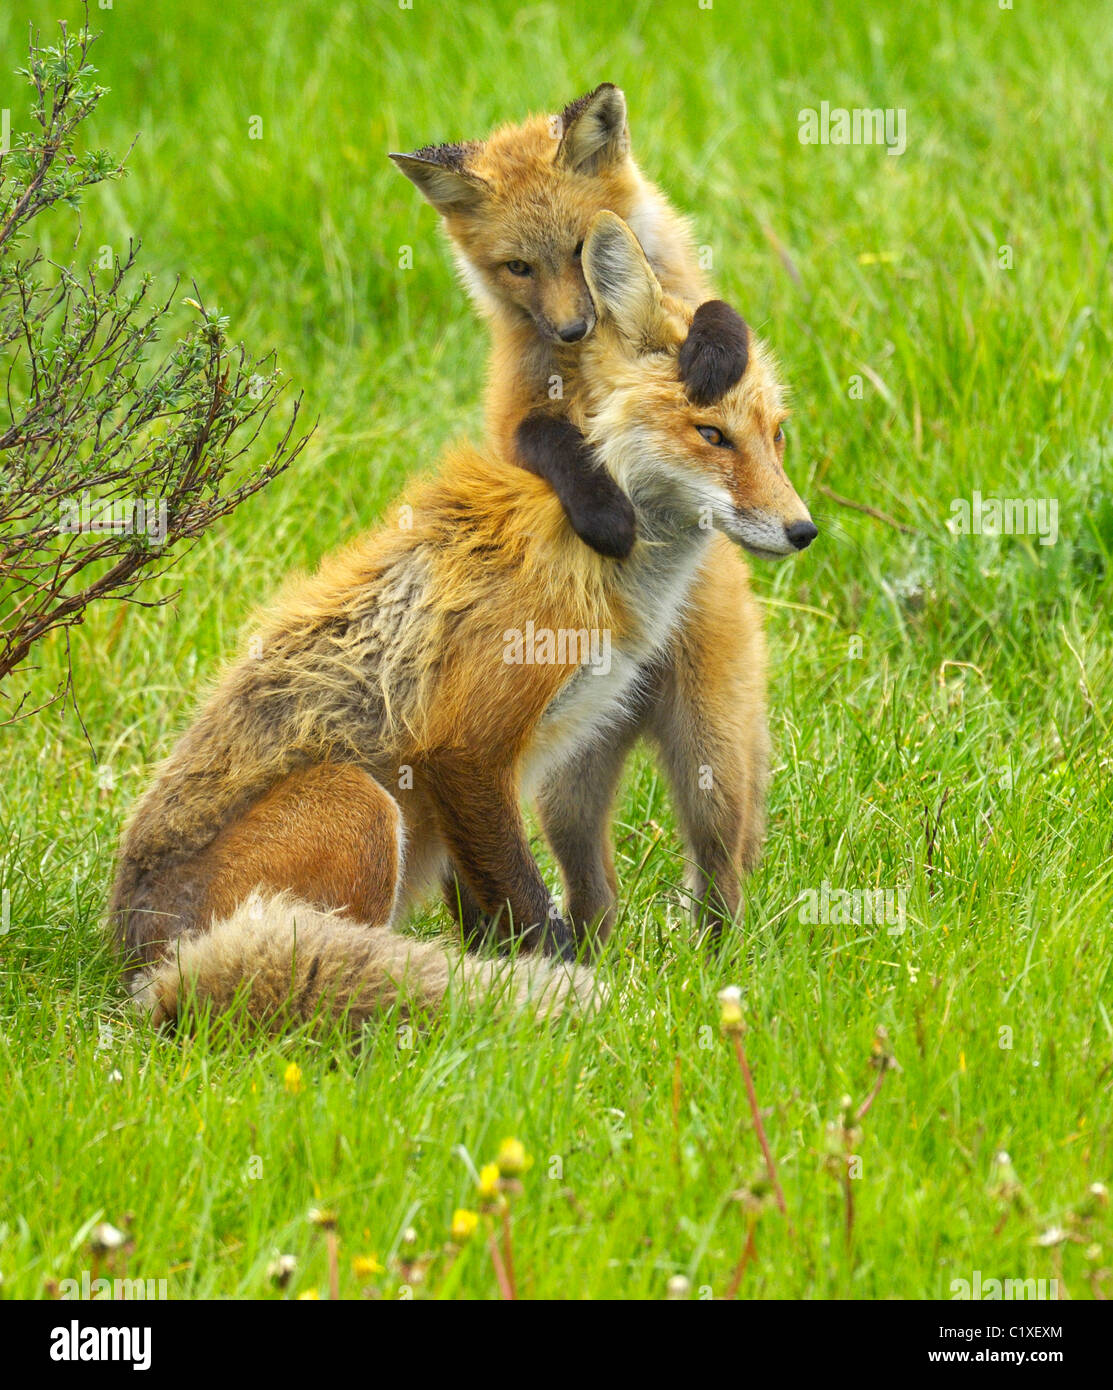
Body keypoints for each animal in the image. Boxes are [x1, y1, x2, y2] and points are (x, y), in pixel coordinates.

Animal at [110, 208, 805, 1034]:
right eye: (710, 436)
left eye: (775, 434)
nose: (802, 531)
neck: (593, 553)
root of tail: (143, 969)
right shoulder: (464, 749)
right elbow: (529, 909)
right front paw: (559, 989)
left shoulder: (517, 764)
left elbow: (492, 912)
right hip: (359, 804)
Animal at [391, 86, 817, 945]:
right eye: (518, 267)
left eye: (584, 246)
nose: (573, 326)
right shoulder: (517, 406)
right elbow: (553, 449)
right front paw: (607, 516)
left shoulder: (690, 279)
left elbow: (719, 310)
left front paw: (710, 352)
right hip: (566, 786)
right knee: (595, 896)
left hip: (712, 768)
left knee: (719, 877)